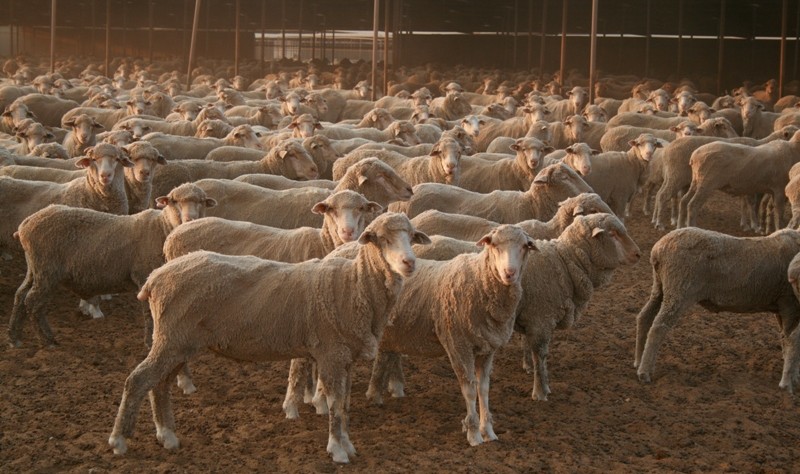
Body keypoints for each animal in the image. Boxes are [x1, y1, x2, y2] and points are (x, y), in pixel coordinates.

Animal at [7, 183, 217, 347]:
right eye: (174, 201)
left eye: (201, 201)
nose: (190, 219)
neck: (163, 228)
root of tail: (25, 224)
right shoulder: (144, 276)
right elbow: (149, 314)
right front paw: (149, 343)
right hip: (47, 270)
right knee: (33, 302)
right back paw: (47, 340)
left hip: (34, 268)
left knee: (20, 295)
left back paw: (14, 337)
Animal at [108, 212, 430, 463]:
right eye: (381, 238)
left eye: (411, 237)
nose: (409, 262)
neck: (354, 286)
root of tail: (155, 278)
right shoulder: (331, 354)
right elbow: (336, 406)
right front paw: (337, 450)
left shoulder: (345, 358)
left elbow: (345, 405)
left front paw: (348, 445)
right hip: (171, 338)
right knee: (138, 380)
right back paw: (119, 441)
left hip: (178, 343)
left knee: (159, 384)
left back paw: (167, 436)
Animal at [635, 227, 800, 394]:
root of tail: (658, 249)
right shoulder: (789, 302)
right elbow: (790, 339)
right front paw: (791, 378)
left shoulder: (781, 305)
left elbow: (784, 338)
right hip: (679, 290)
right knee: (658, 327)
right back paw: (644, 372)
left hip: (660, 287)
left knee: (644, 317)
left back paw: (638, 360)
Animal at [653, 127, 799, 230]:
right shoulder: (778, 189)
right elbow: (775, 212)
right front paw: (764, 227)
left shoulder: (750, 185)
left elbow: (751, 204)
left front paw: (750, 225)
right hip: (698, 181)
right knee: (684, 201)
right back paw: (672, 225)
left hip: (693, 181)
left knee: (680, 200)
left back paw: (678, 226)